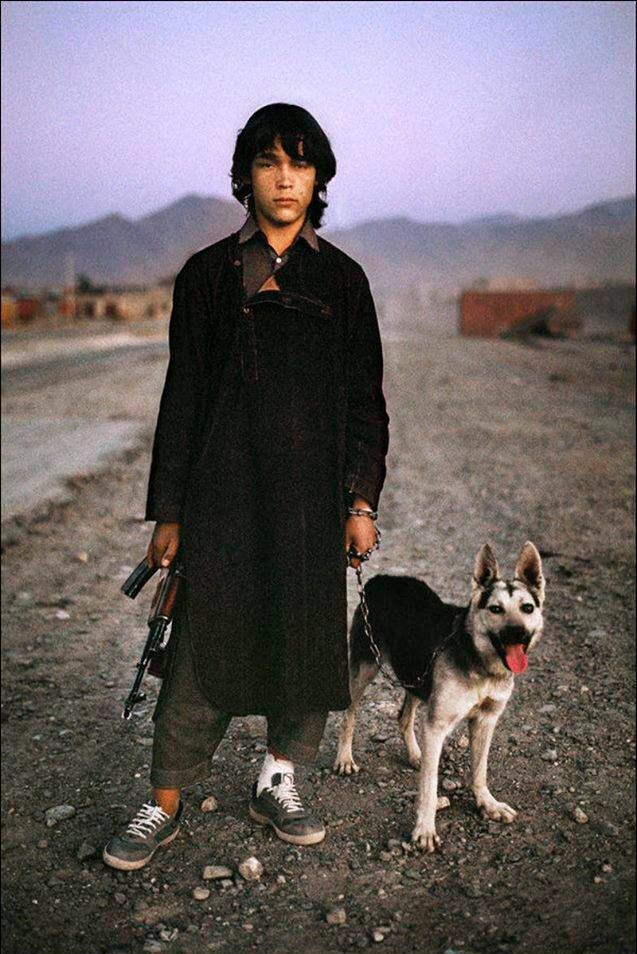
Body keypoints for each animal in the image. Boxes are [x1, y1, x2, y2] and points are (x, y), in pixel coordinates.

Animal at [332, 540, 548, 852]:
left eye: (527, 608)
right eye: (495, 609)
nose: (516, 634)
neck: (480, 663)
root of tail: (381, 579)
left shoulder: (486, 721)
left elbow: (479, 770)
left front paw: (488, 804)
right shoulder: (436, 725)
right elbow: (429, 785)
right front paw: (424, 828)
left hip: (417, 676)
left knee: (404, 716)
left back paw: (415, 754)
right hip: (365, 666)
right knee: (350, 713)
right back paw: (345, 758)